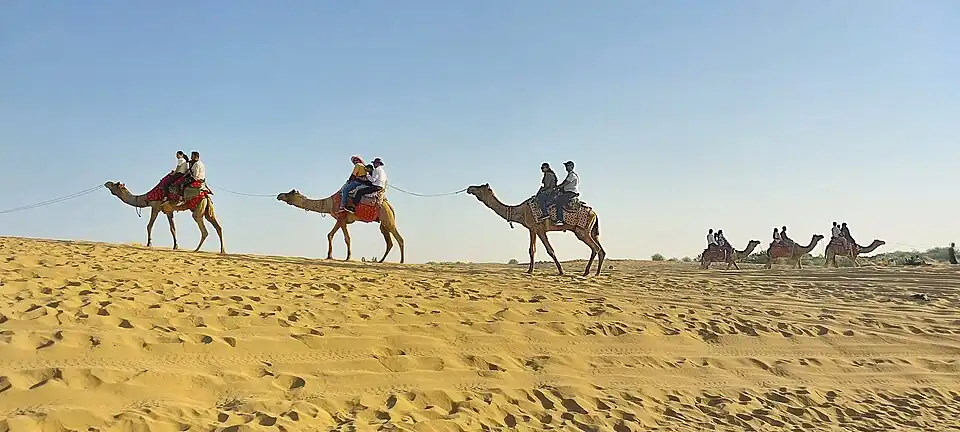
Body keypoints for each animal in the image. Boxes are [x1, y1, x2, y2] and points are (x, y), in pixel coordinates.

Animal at [276, 189, 405, 263]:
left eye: (291, 193)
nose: (279, 195)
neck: (328, 203)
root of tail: (390, 206)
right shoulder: (341, 220)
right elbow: (338, 236)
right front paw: (337, 256)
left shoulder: (341, 218)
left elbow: (339, 237)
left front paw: (340, 257)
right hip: (383, 223)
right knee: (389, 241)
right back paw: (381, 261)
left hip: (387, 219)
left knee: (399, 238)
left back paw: (401, 261)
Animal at [466, 184, 605, 276]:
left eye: (480, 187)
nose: (470, 188)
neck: (521, 211)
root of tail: (595, 213)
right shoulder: (532, 229)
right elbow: (531, 250)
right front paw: (529, 271)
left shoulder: (540, 229)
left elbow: (550, 250)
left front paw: (561, 271)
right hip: (592, 231)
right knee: (600, 250)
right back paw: (595, 273)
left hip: (581, 231)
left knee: (595, 248)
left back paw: (588, 272)